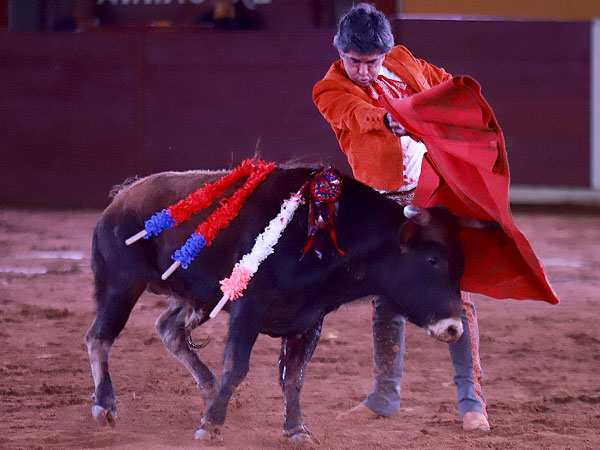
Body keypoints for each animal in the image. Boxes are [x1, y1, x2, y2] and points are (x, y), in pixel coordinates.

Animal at [84, 165, 480, 442]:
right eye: (432, 260)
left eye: (463, 265)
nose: (453, 327)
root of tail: (122, 196)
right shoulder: (247, 309)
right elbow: (236, 366)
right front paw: (211, 427)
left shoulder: (309, 321)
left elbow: (294, 379)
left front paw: (296, 430)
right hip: (121, 285)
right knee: (99, 337)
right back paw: (105, 406)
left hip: (199, 296)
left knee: (168, 329)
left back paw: (208, 392)